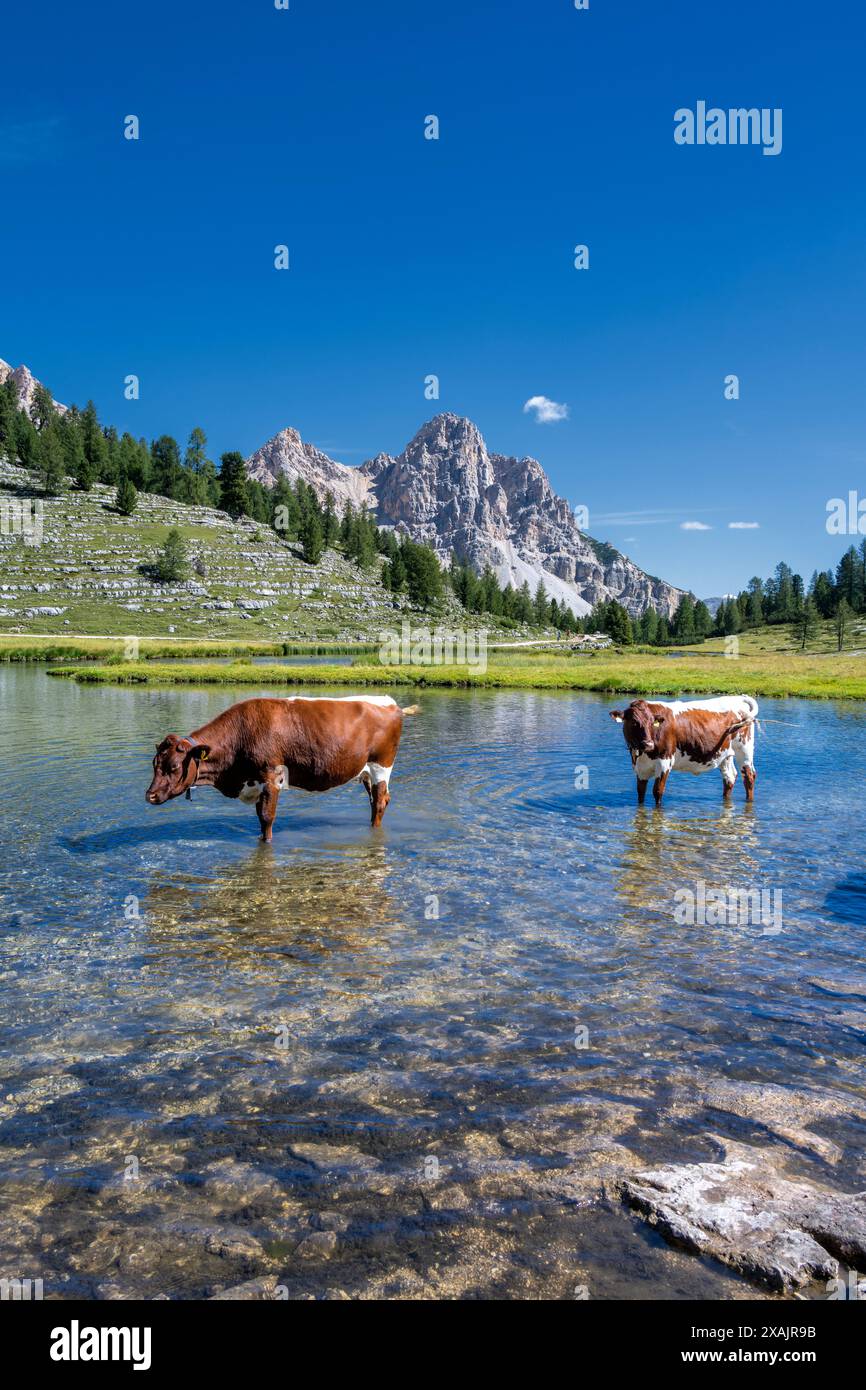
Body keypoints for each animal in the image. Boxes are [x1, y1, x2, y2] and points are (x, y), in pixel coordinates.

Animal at [145, 694, 421, 841]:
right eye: (155, 763)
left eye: (173, 766)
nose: (150, 795)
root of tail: (391, 704)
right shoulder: (255, 783)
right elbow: (259, 817)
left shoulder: (271, 777)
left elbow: (267, 818)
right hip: (365, 771)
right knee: (377, 801)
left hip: (381, 766)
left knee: (380, 801)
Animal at [610, 695, 758, 805]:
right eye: (634, 722)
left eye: (652, 723)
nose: (649, 744)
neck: (642, 755)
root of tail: (737, 698)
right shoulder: (640, 768)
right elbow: (640, 792)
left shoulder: (665, 761)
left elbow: (657, 791)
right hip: (725, 754)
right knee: (729, 777)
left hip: (744, 749)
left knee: (749, 776)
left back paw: (749, 801)